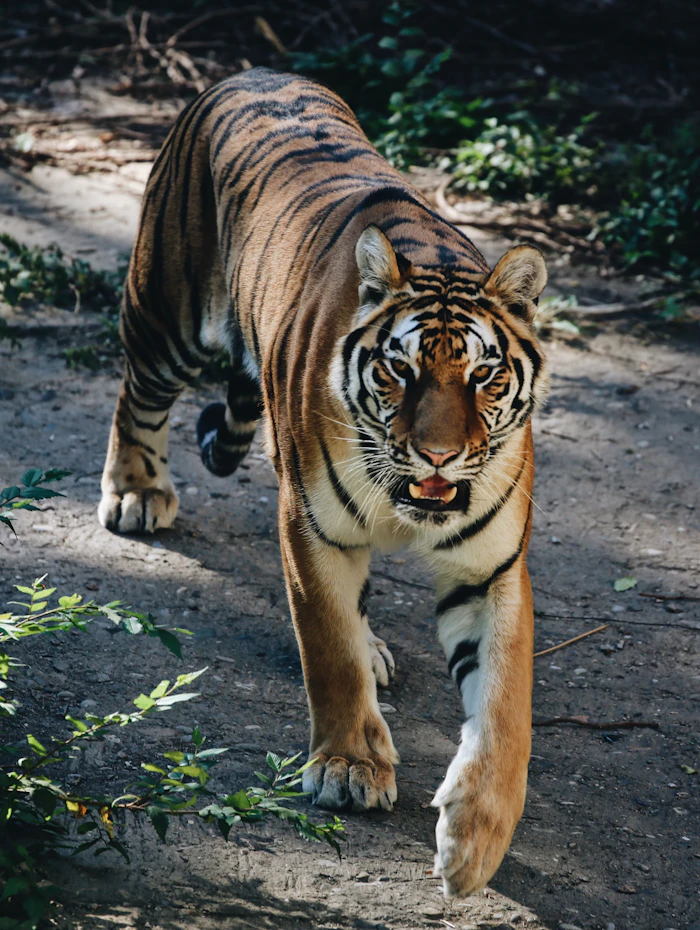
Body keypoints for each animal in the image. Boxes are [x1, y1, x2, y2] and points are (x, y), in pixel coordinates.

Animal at [98, 67, 548, 897]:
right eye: (401, 371)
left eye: (484, 375)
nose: (438, 455)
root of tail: (250, 72)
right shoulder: (312, 527)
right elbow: (328, 648)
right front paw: (349, 767)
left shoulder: (492, 568)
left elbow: (504, 706)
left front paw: (474, 839)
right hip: (164, 313)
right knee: (136, 392)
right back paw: (136, 492)